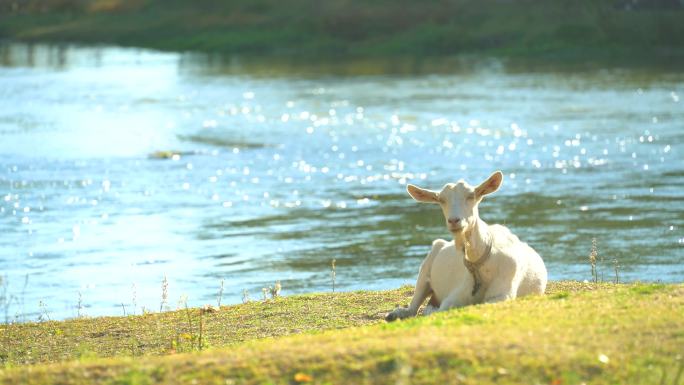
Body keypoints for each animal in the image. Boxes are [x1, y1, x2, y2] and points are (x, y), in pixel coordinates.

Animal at [388, 171, 548, 320]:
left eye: (471, 196)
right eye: (441, 200)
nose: (454, 220)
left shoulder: (503, 292)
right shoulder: (456, 293)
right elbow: (443, 308)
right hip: (427, 264)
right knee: (414, 305)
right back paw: (395, 313)